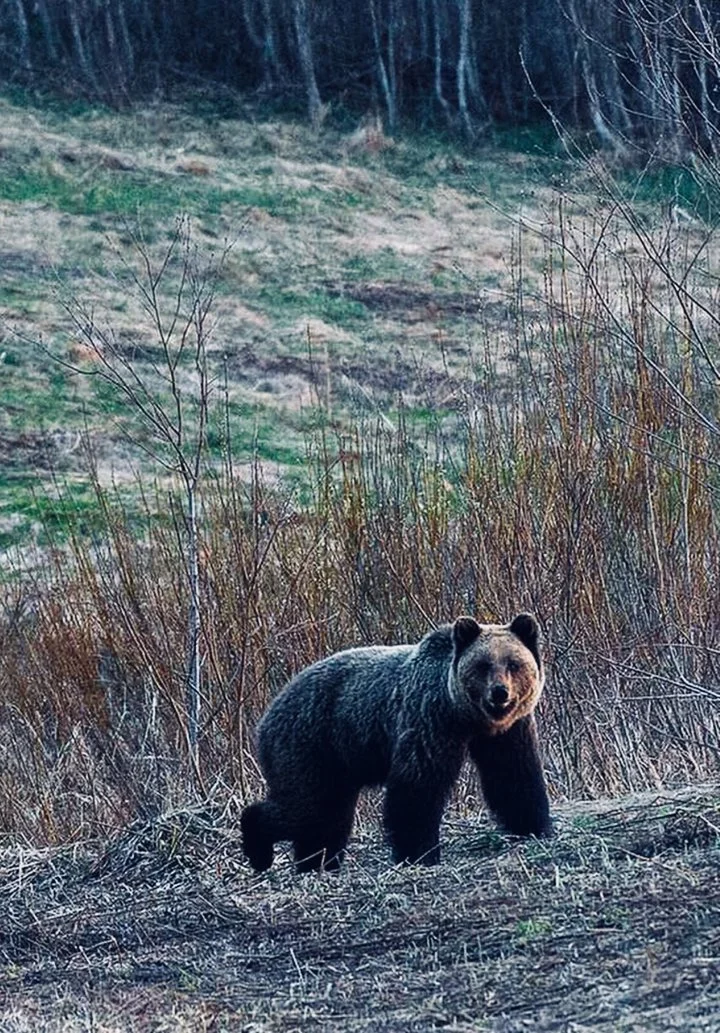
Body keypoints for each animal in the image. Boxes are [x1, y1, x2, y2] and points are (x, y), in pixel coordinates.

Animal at [241, 613, 551, 873]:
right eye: (483, 665)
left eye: (513, 664)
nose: (499, 693)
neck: (465, 717)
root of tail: (267, 715)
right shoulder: (428, 720)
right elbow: (417, 788)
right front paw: (420, 852)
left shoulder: (507, 733)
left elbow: (514, 776)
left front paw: (533, 825)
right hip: (310, 743)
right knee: (307, 807)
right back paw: (260, 847)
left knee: (327, 817)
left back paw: (317, 861)